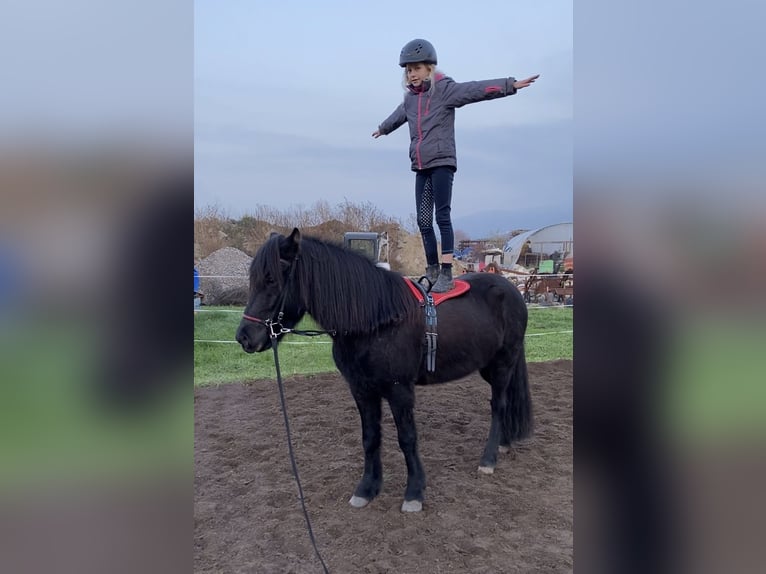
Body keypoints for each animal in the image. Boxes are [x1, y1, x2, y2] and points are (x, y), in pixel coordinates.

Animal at [235, 228, 533, 513]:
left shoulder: (399, 391)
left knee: (498, 406)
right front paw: (367, 489)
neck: (375, 319)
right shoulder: (362, 391)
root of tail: (511, 289)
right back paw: (504, 443)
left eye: (271, 279)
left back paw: (489, 459)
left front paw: (414, 493)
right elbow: (370, 438)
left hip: (503, 364)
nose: (244, 337)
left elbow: (407, 439)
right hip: (488, 366)